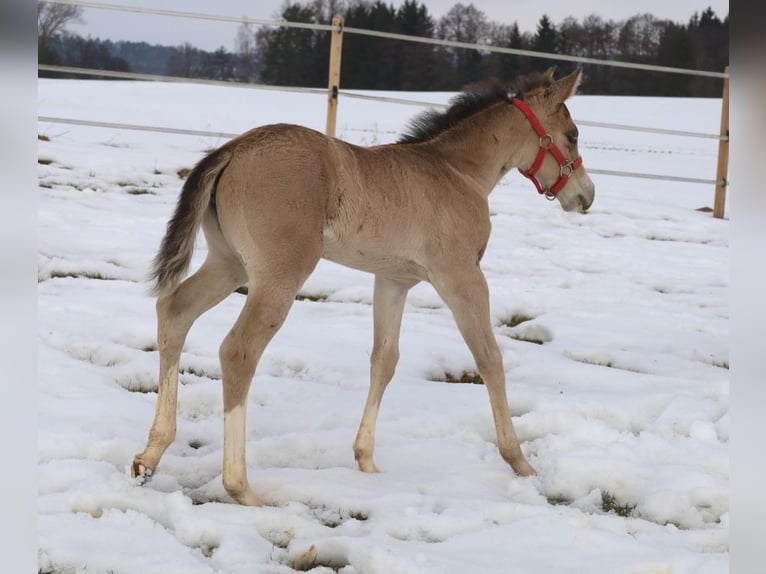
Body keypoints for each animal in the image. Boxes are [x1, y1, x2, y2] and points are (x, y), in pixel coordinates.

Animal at [131, 68, 595, 505]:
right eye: (572, 136)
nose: (586, 195)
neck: (457, 173)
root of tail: (232, 149)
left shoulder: (393, 281)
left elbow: (384, 360)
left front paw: (366, 461)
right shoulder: (461, 276)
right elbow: (489, 358)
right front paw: (520, 463)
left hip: (229, 264)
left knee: (174, 311)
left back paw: (149, 457)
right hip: (278, 276)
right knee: (238, 350)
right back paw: (240, 487)